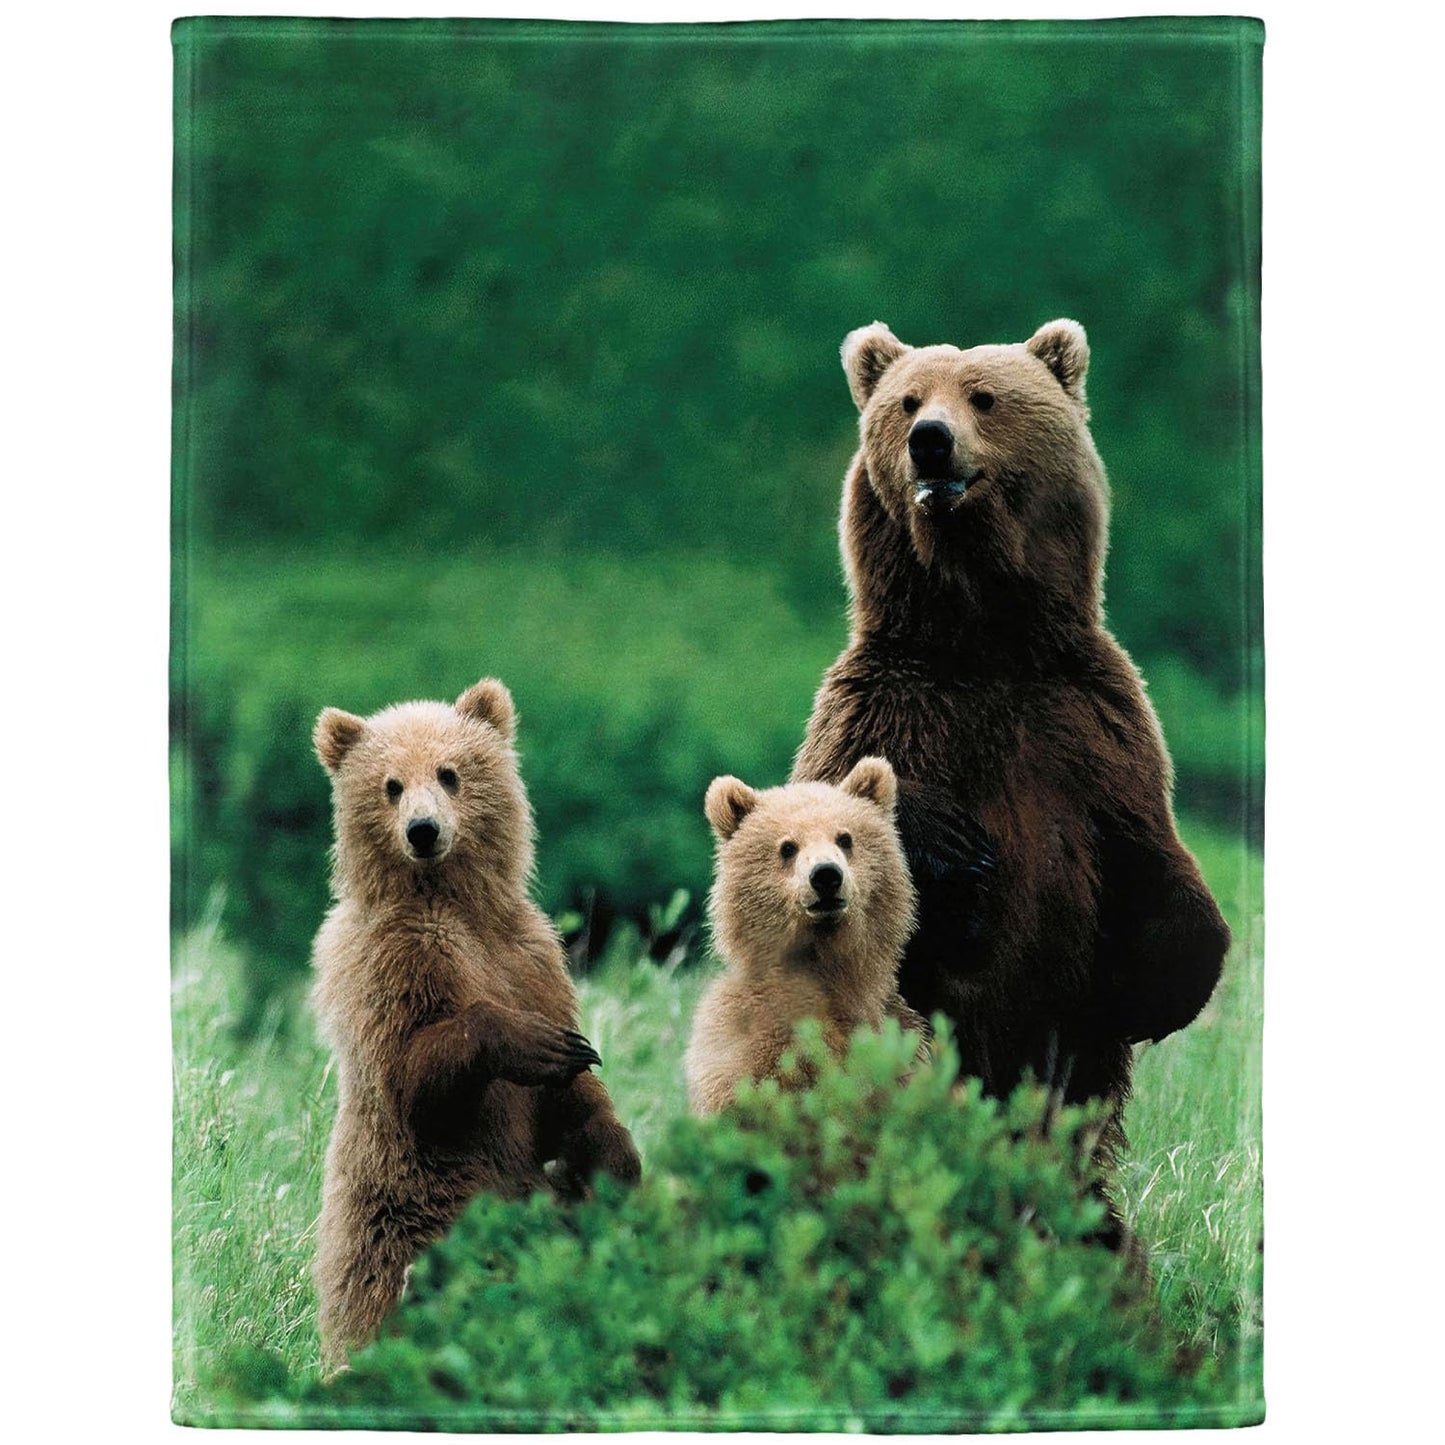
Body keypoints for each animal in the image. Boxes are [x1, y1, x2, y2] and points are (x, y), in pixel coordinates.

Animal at [310, 676, 641, 1364]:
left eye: (450, 772)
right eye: (390, 784)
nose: (423, 830)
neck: (453, 903)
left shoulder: (530, 958)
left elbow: (574, 1101)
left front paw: (612, 1151)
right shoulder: (393, 965)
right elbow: (413, 1072)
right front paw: (538, 1044)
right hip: (417, 1219)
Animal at [791, 319, 1230, 1216]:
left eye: (984, 396)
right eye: (907, 402)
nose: (930, 441)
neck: (982, 637)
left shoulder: (1093, 729)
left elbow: (1156, 864)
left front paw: (1155, 989)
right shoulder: (883, 707)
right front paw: (952, 845)